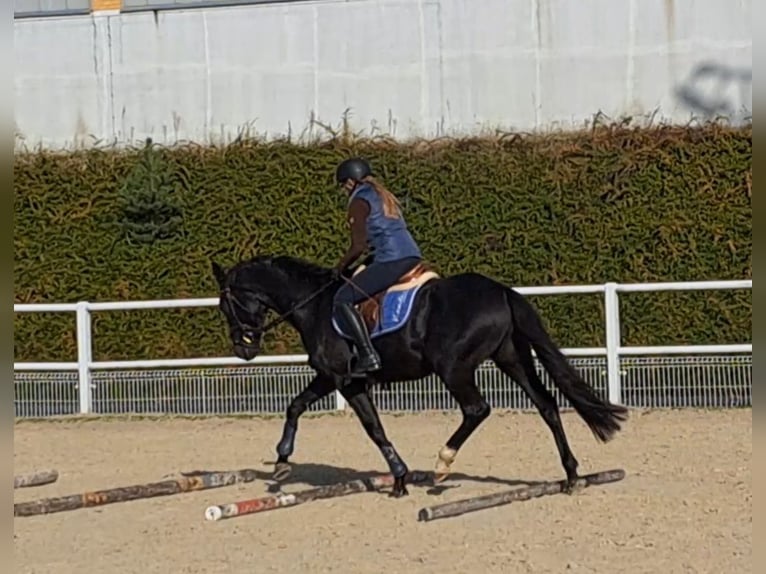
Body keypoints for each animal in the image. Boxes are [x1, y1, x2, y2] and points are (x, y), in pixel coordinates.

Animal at [212, 256, 632, 500]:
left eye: (225, 304)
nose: (243, 349)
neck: (314, 304)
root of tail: (501, 291)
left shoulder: (339, 378)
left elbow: (333, 417)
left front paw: (283, 461)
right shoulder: (347, 381)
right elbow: (362, 425)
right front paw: (398, 478)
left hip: (453, 367)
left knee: (477, 409)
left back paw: (443, 466)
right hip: (511, 358)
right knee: (546, 405)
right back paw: (571, 475)